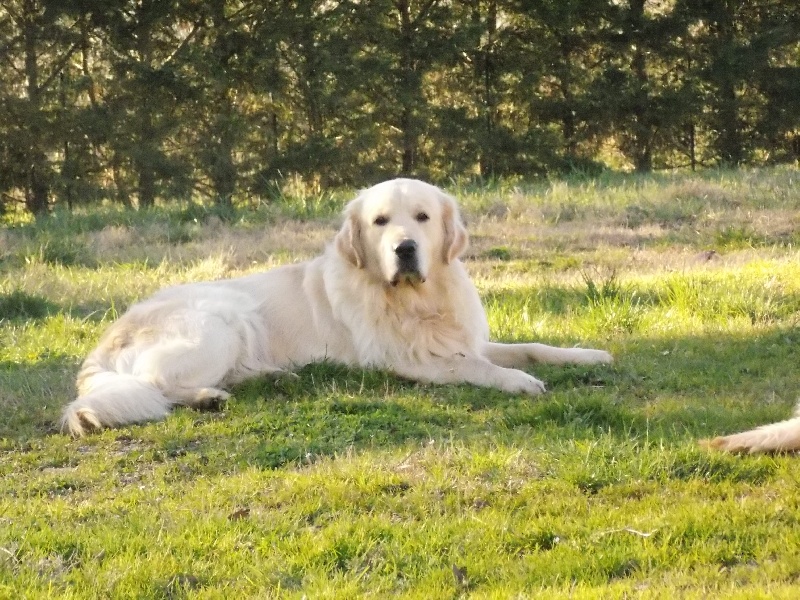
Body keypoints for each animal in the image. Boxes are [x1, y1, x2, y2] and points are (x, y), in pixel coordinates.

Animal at [61, 178, 612, 436]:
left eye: (422, 217)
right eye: (380, 221)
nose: (404, 249)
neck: (417, 300)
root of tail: (106, 340)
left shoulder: (464, 337)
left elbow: (533, 346)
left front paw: (589, 355)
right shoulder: (406, 359)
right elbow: (476, 367)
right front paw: (518, 382)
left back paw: (267, 379)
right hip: (220, 319)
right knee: (154, 384)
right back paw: (208, 396)